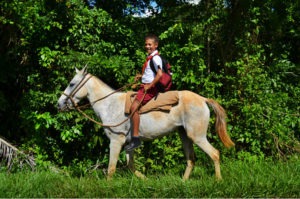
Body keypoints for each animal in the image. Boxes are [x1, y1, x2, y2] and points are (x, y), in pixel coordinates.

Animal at [56, 67, 234, 180]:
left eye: (72, 84)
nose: (59, 104)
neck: (109, 104)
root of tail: (203, 99)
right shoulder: (128, 144)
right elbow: (130, 166)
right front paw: (145, 180)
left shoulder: (116, 141)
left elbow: (111, 168)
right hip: (185, 136)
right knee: (191, 159)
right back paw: (183, 182)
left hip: (197, 136)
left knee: (215, 154)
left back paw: (218, 180)